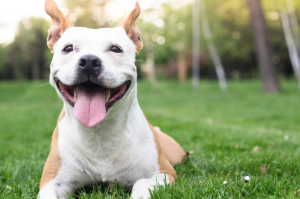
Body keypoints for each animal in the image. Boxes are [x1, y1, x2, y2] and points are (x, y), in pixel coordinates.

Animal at [39, 0, 190, 198]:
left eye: (115, 49)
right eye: (68, 48)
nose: (89, 61)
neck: (99, 132)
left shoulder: (163, 173)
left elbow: (142, 183)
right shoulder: (51, 181)